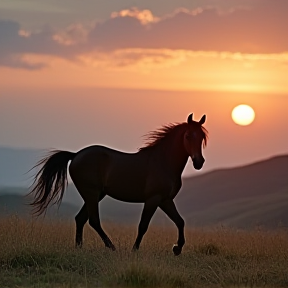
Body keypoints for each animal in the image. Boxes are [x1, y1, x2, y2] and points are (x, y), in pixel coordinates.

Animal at [28, 113, 207, 255]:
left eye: (202, 138)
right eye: (188, 136)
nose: (199, 162)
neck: (163, 162)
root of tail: (76, 155)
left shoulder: (165, 200)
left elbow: (180, 221)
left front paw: (177, 248)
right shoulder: (153, 199)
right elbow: (143, 225)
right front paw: (135, 250)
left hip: (96, 195)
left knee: (80, 219)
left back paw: (79, 248)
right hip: (91, 194)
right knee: (93, 220)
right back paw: (111, 247)